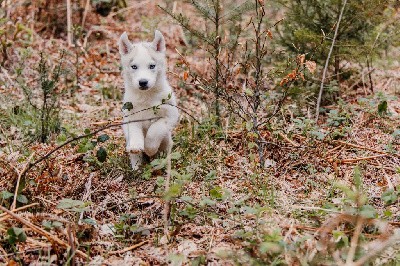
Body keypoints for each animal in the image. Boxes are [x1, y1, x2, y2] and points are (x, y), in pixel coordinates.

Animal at [118, 30, 179, 168]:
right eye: (134, 67)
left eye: (152, 66)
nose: (143, 82)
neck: (146, 97)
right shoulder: (131, 115)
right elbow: (134, 131)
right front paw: (136, 147)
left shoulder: (171, 114)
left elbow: (155, 130)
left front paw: (150, 148)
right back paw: (136, 165)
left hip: (167, 139)